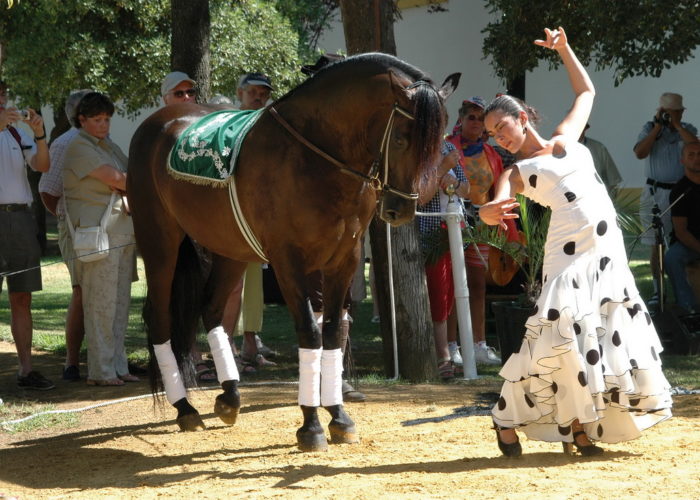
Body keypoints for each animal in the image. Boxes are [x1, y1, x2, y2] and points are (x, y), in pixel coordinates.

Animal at [128, 52, 460, 452]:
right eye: (400, 138)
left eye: (438, 142)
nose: (401, 209)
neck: (314, 156)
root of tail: (159, 119)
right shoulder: (288, 261)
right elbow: (310, 333)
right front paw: (311, 426)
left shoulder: (345, 259)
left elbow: (333, 333)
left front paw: (339, 417)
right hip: (160, 242)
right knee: (160, 317)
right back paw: (184, 407)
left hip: (232, 249)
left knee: (212, 308)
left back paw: (230, 397)